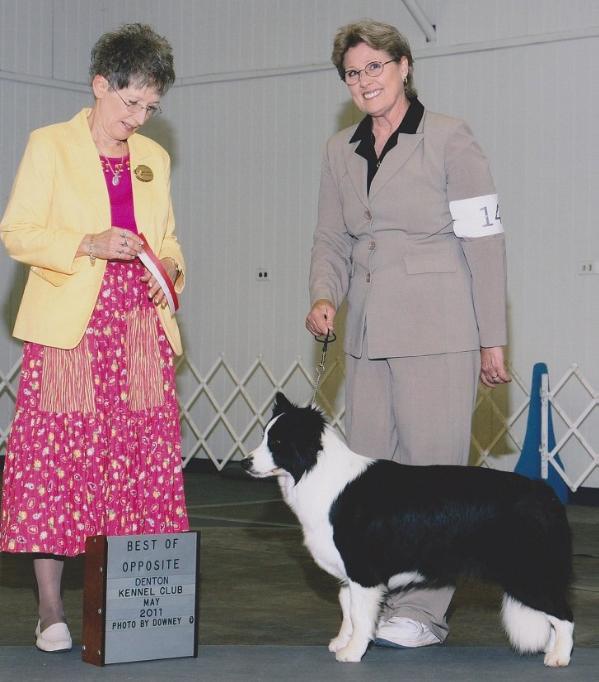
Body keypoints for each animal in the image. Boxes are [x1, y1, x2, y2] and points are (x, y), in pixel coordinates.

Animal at [244, 394, 576, 664]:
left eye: (277, 443)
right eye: (263, 436)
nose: (246, 462)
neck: (316, 473)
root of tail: (543, 492)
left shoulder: (364, 572)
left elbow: (359, 615)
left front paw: (352, 653)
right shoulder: (349, 573)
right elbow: (346, 607)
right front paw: (342, 642)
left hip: (526, 570)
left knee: (563, 614)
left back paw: (559, 657)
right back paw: (551, 650)